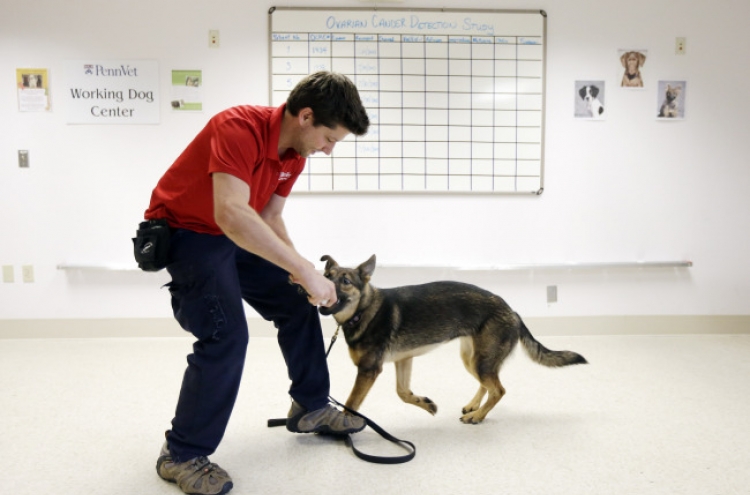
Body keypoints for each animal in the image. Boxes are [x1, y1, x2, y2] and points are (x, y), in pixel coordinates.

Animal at [320, 258, 592, 424]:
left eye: (345, 281)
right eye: (326, 274)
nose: (320, 285)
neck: (363, 310)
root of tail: (512, 311)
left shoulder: (368, 370)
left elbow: (351, 403)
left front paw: (343, 425)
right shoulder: (403, 360)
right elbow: (403, 393)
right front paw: (426, 403)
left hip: (481, 362)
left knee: (499, 389)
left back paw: (478, 416)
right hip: (472, 359)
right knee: (488, 384)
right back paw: (475, 406)